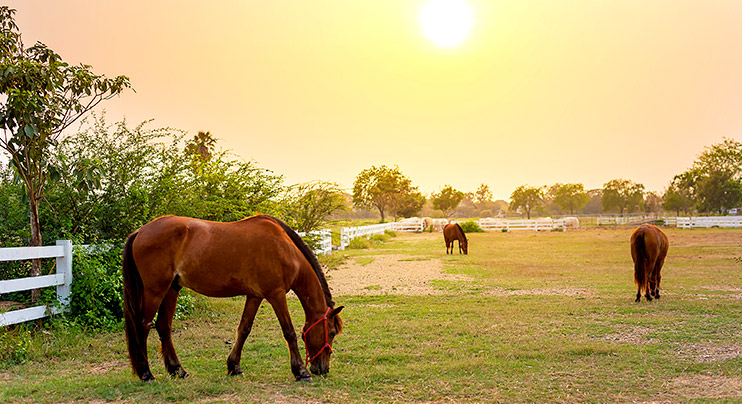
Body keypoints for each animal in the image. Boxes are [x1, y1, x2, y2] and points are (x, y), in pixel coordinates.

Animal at [121, 215, 342, 382]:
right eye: (331, 332)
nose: (322, 369)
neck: (285, 249)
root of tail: (140, 231)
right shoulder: (276, 295)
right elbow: (289, 332)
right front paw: (301, 372)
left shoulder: (255, 296)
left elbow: (244, 329)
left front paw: (234, 366)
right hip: (155, 290)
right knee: (143, 326)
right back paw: (146, 374)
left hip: (171, 289)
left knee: (163, 327)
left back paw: (178, 370)